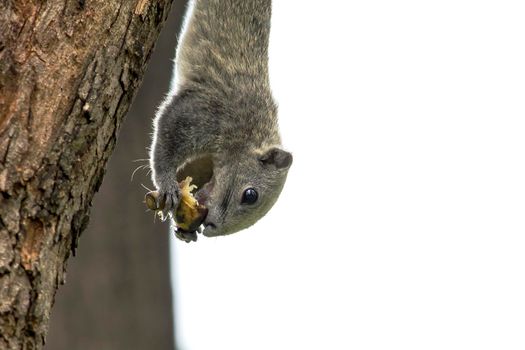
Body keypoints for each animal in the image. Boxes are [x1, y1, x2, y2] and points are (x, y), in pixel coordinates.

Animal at [149, 0, 292, 241]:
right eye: (250, 195)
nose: (210, 227)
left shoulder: (205, 161)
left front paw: (187, 230)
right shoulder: (207, 114)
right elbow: (168, 133)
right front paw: (167, 185)